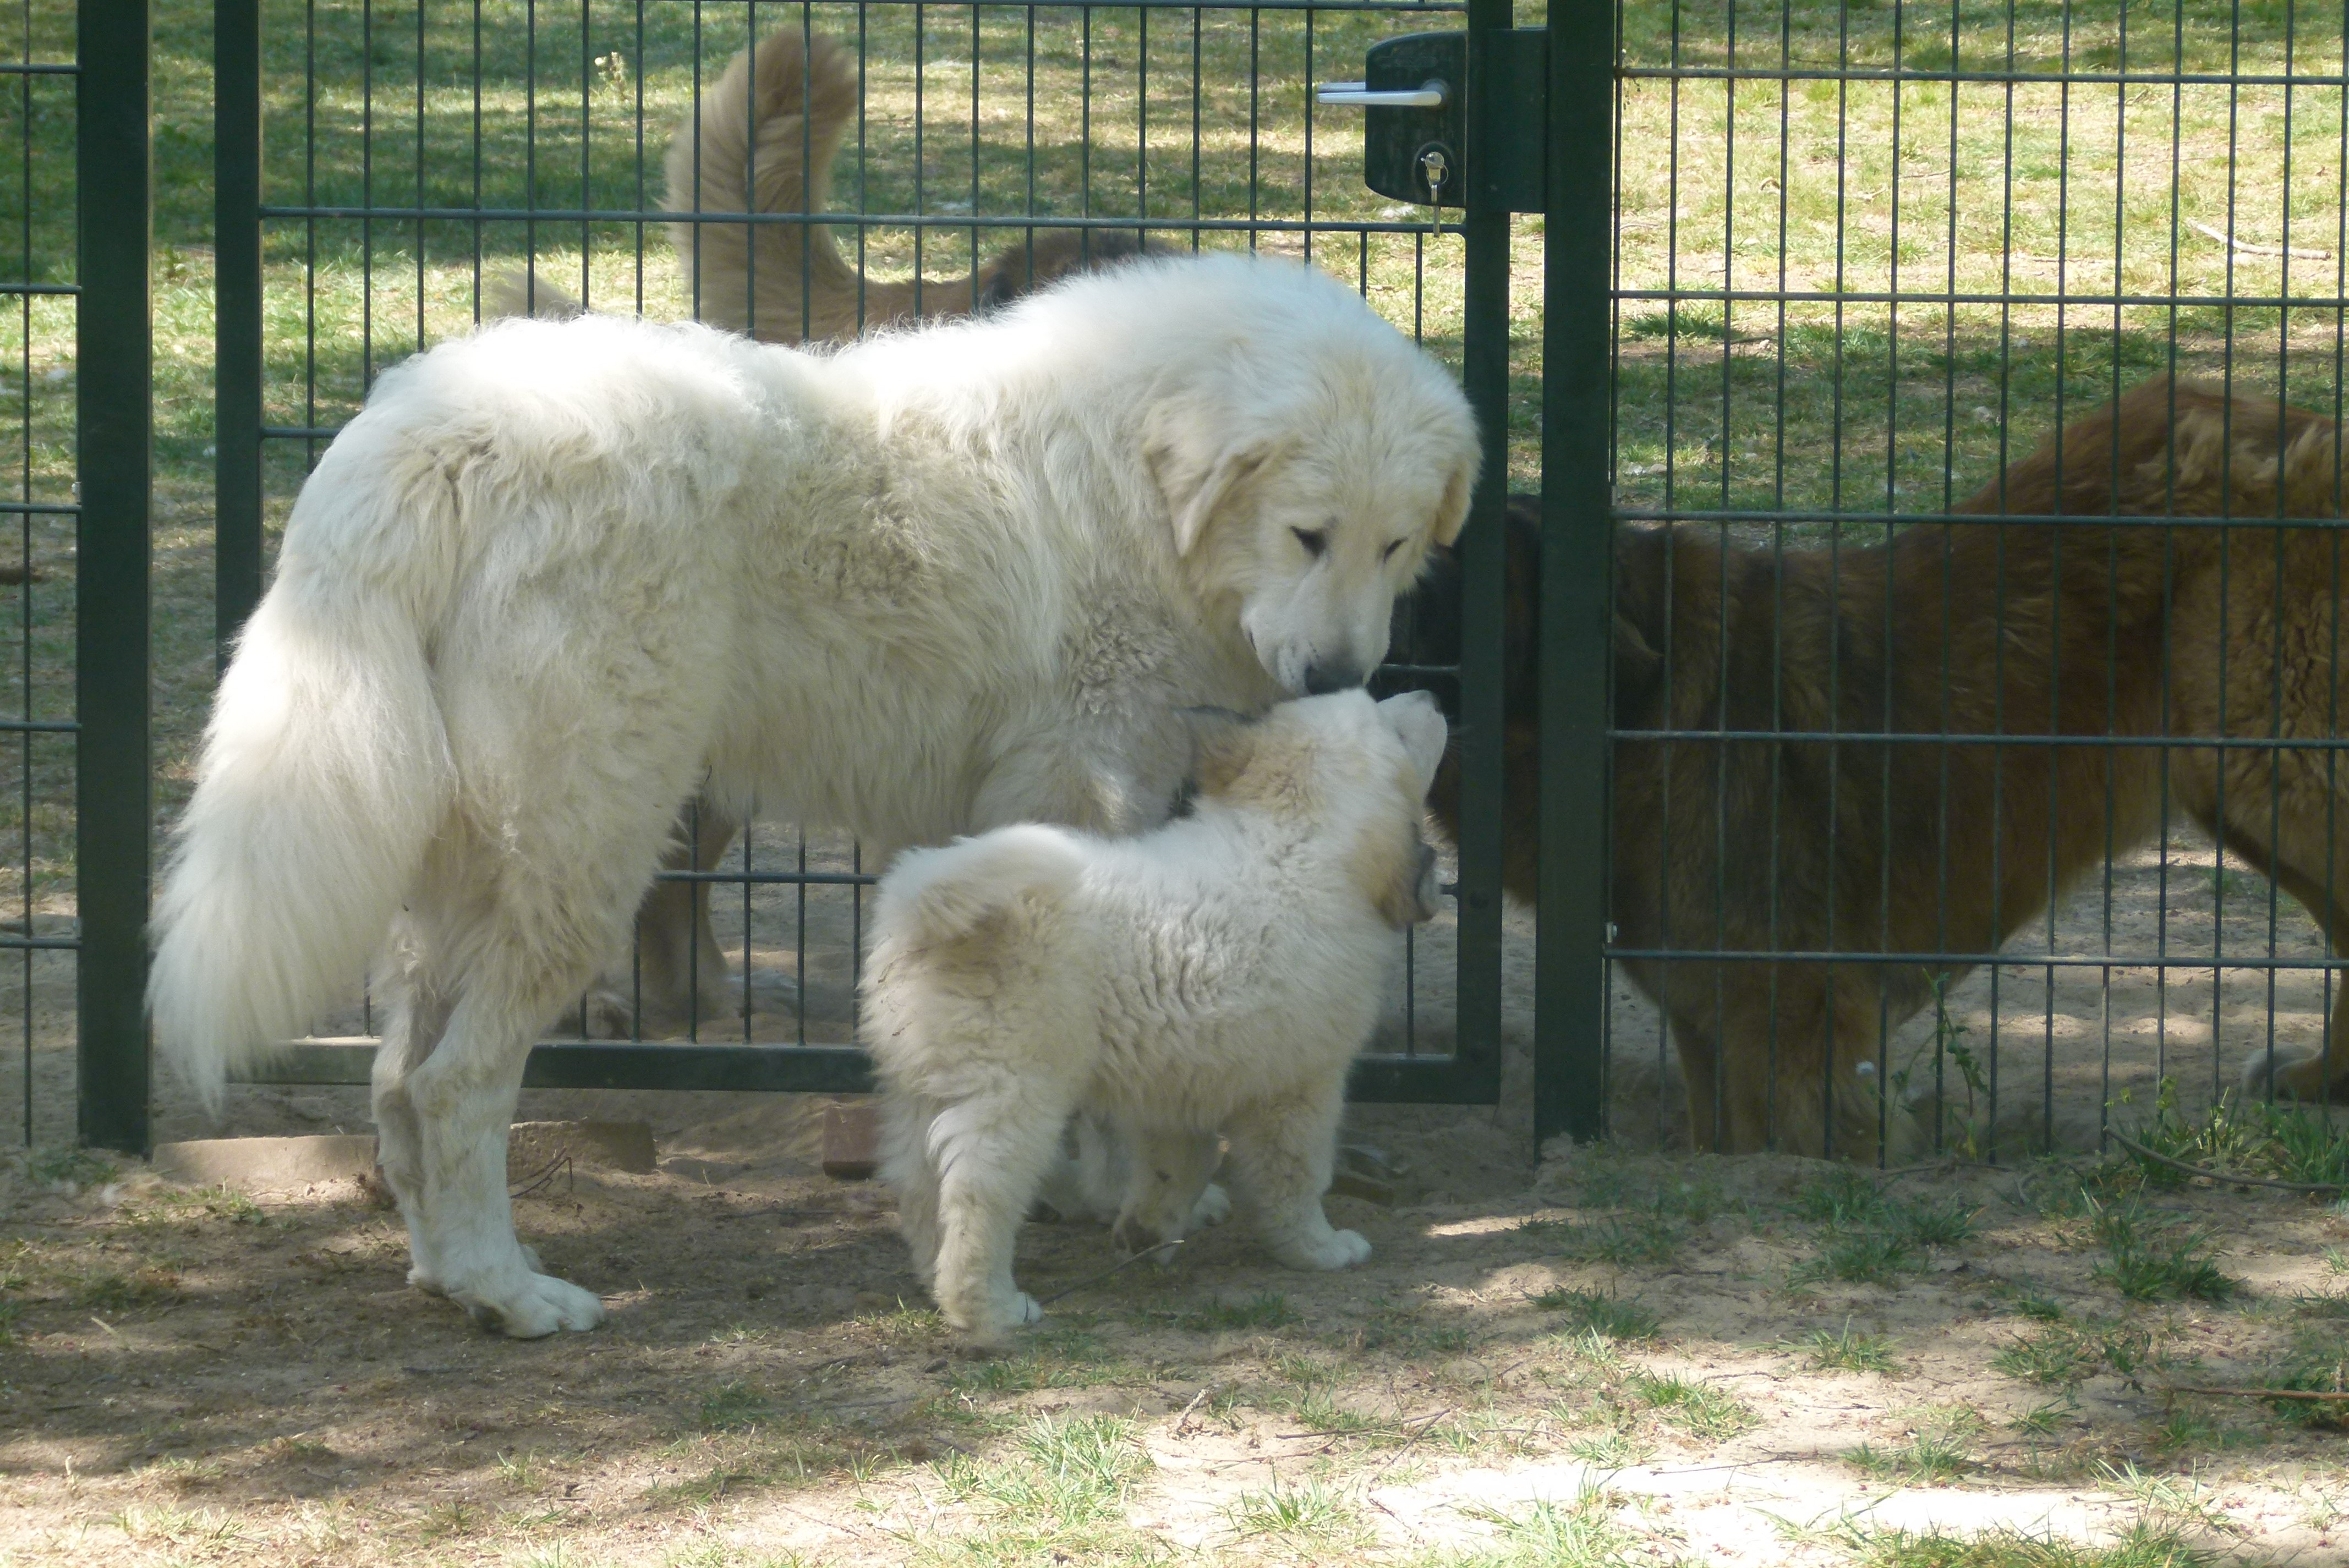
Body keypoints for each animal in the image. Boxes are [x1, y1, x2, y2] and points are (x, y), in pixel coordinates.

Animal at [869, 690, 1447, 1352]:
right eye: (1393, 726)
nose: (1430, 694)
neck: (1291, 840)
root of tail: (924, 898)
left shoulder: (1181, 1079)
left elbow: (1177, 1165)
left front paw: (1148, 1234)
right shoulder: (1300, 1088)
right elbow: (1296, 1179)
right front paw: (1320, 1250)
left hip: (916, 1085)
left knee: (919, 1188)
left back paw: (933, 1285)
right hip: (1015, 1092)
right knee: (978, 1197)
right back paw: (989, 1309)